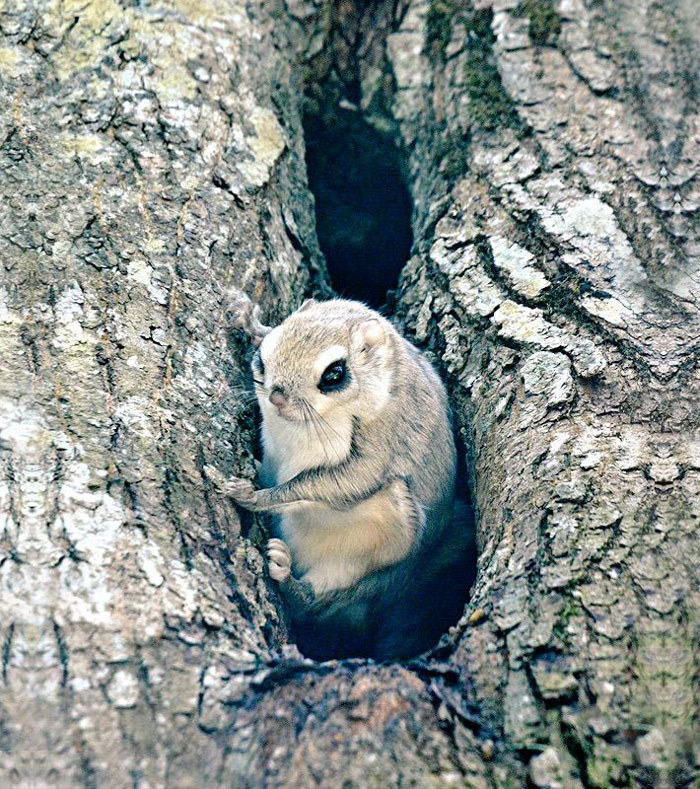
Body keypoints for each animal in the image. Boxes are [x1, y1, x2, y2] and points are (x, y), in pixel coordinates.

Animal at [208, 292, 470, 656]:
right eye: (263, 357)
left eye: (334, 374)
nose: (277, 397)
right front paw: (247, 317)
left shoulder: (381, 444)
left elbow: (335, 482)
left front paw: (254, 496)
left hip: (364, 554)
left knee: (318, 603)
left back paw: (290, 581)